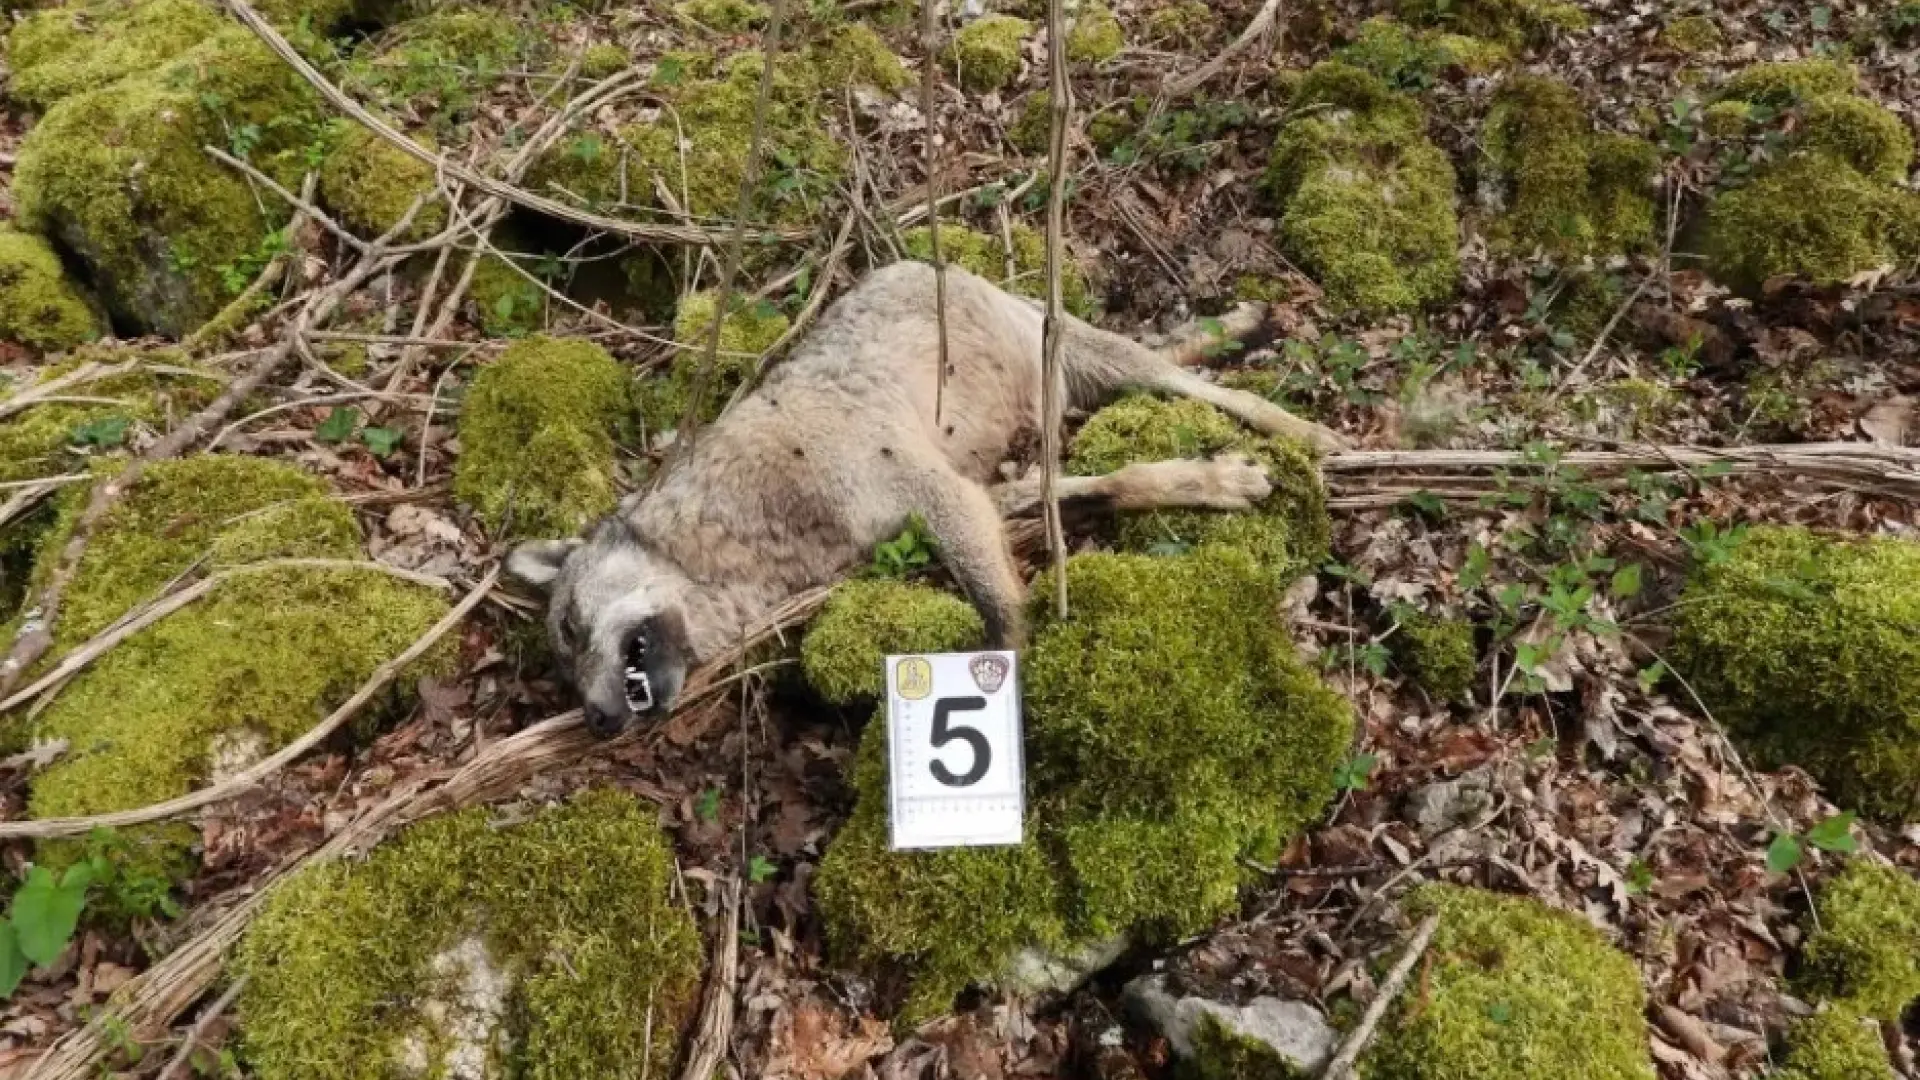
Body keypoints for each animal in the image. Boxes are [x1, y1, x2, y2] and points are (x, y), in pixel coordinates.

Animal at [507, 260, 1344, 737]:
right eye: (565, 665)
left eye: (572, 628)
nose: (598, 723)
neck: (744, 520)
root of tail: (917, 256)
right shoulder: (982, 497)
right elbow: (1119, 484)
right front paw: (1216, 480)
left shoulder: (941, 495)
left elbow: (1001, 617)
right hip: (1074, 380)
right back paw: (1240, 333)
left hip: (1085, 355)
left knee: (1212, 387)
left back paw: (1306, 426)